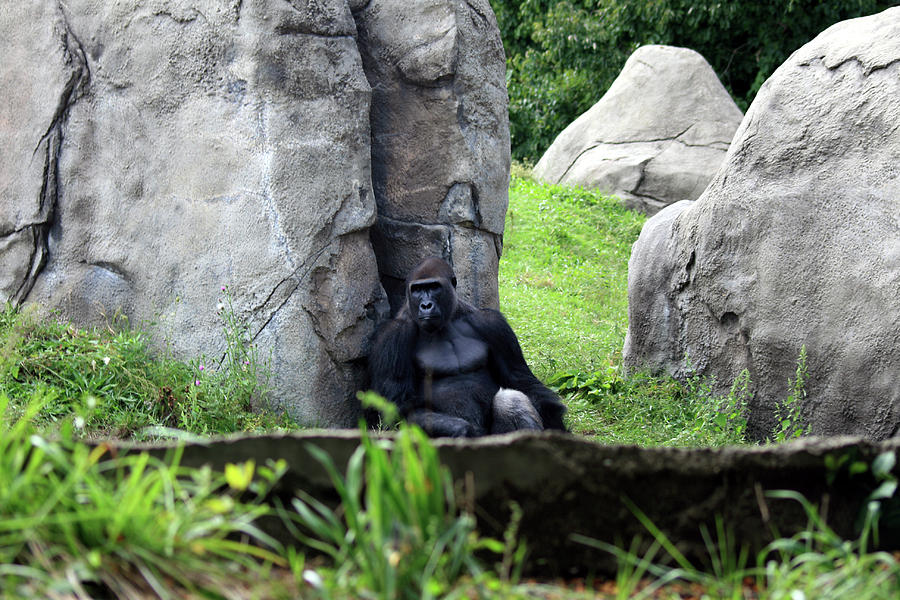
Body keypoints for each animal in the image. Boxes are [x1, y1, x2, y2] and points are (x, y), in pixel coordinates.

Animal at [364, 256, 564, 436]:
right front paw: (463, 430)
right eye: (417, 290)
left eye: (434, 287)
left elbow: (520, 379)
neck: (448, 320)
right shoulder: (391, 336)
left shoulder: (492, 323)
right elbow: (398, 406)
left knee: (511, 399)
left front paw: (557, 426)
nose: (426, 305)